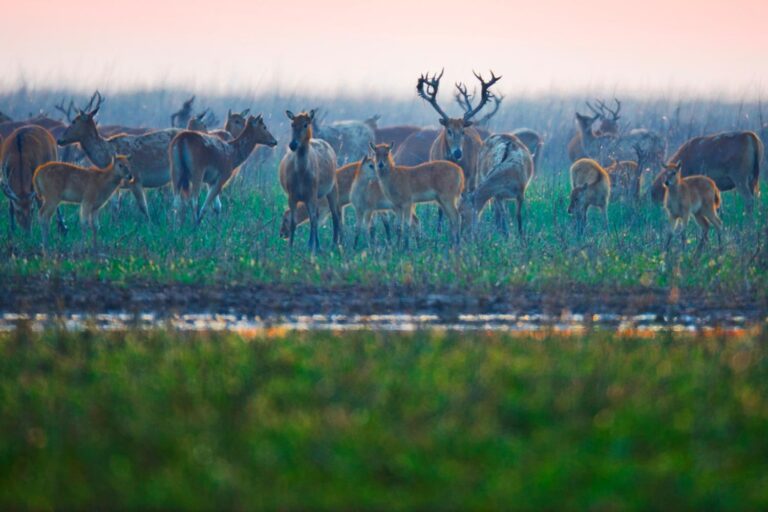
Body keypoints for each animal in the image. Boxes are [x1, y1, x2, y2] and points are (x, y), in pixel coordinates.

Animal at [279, 110, 342, 253]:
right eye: (292, 124)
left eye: (305, 124)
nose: (293, 144)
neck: (301, 175)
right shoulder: (292, 195)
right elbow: (294, 221)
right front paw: (290, 247)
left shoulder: (311, 193)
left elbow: (312, 219)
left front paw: (310, 246)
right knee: (318, 215)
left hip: (332, 187)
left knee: (334, 215)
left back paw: (333, 244)